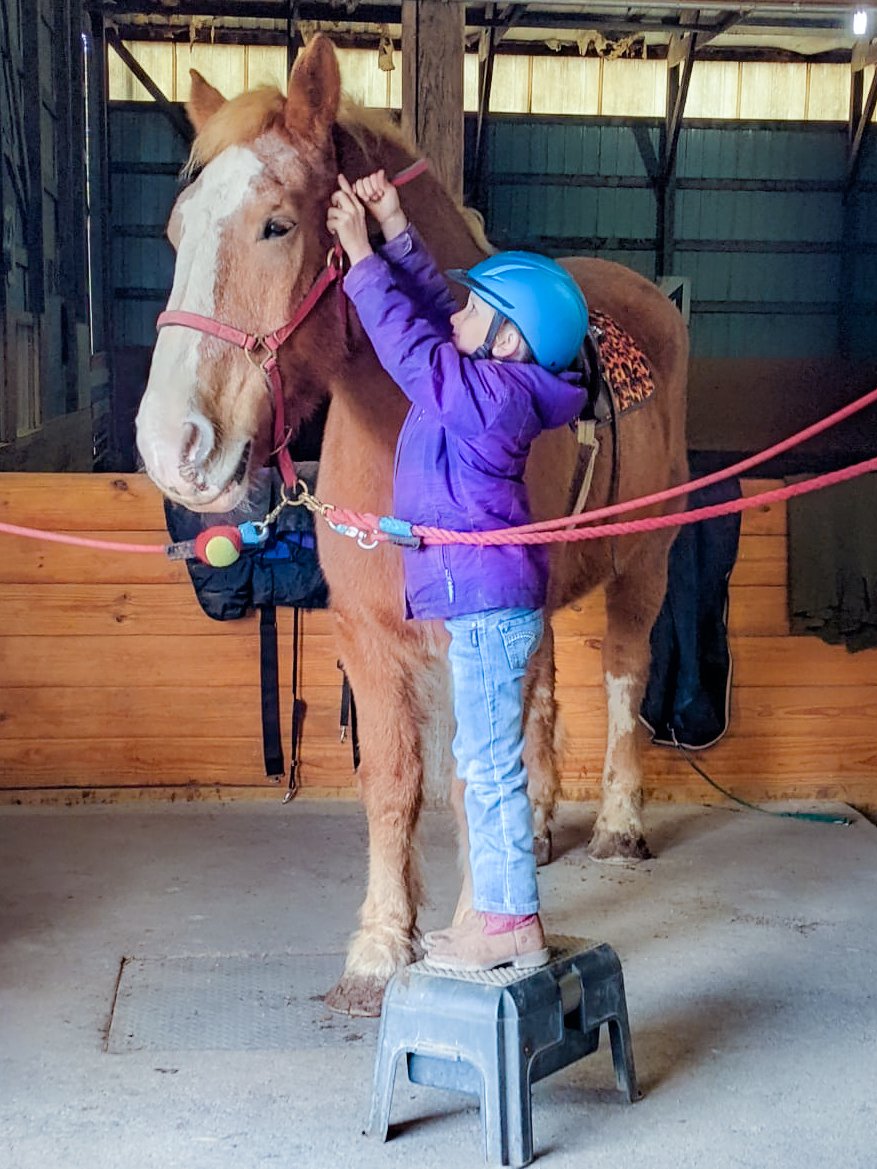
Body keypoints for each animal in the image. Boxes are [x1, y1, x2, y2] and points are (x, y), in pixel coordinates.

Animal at [135, 33, 688, 1017]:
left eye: (277, 225)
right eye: (176, 230)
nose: (173, 447)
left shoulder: (472, 630)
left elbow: (474, 777)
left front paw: (487, 936)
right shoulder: (365, 634)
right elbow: (393, 782)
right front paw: (379, 946)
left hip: (643, 566)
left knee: (625, 679)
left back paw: (620, 823)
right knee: (544, 699)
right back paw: (538, 829)